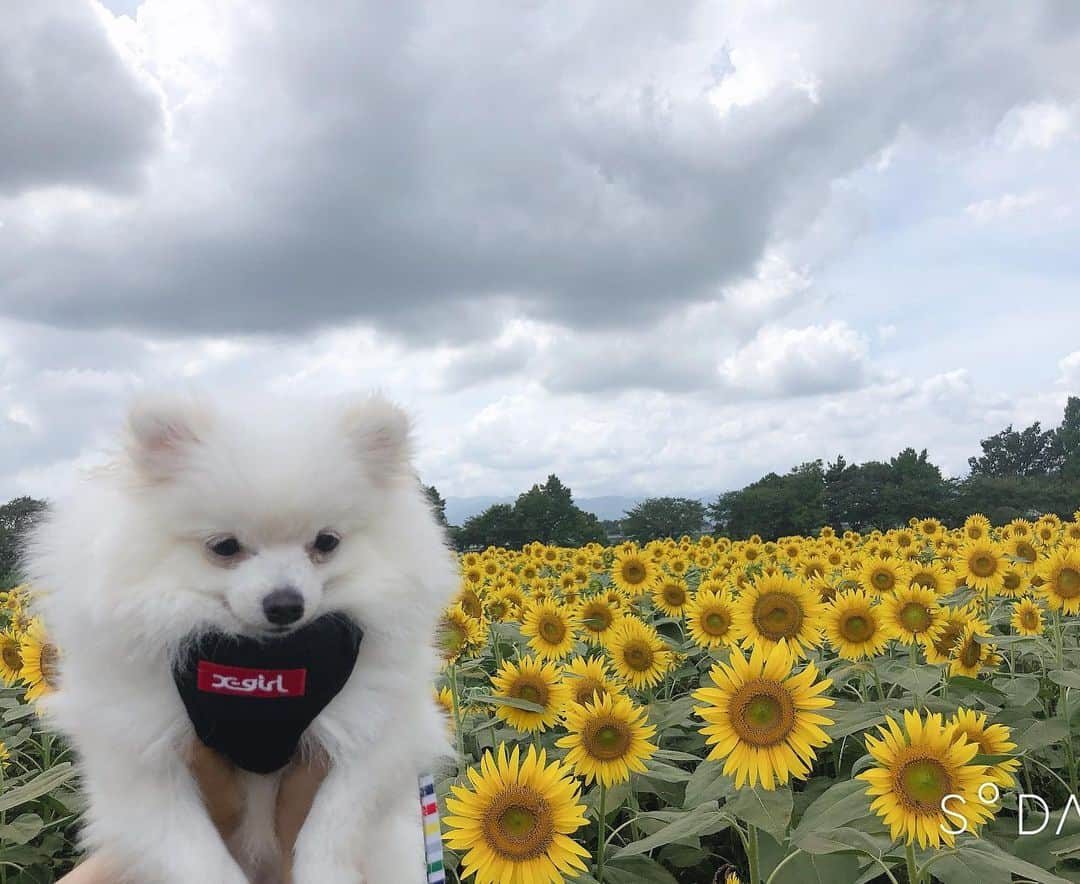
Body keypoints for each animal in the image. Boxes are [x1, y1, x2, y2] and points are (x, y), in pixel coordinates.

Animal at [25, 395, 455, 884]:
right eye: (224, 547)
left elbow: (334, 822)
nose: (285, 604)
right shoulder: (141, 755)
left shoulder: (380, 729)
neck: (260, 664)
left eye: (326, 542)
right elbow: (192, 850)